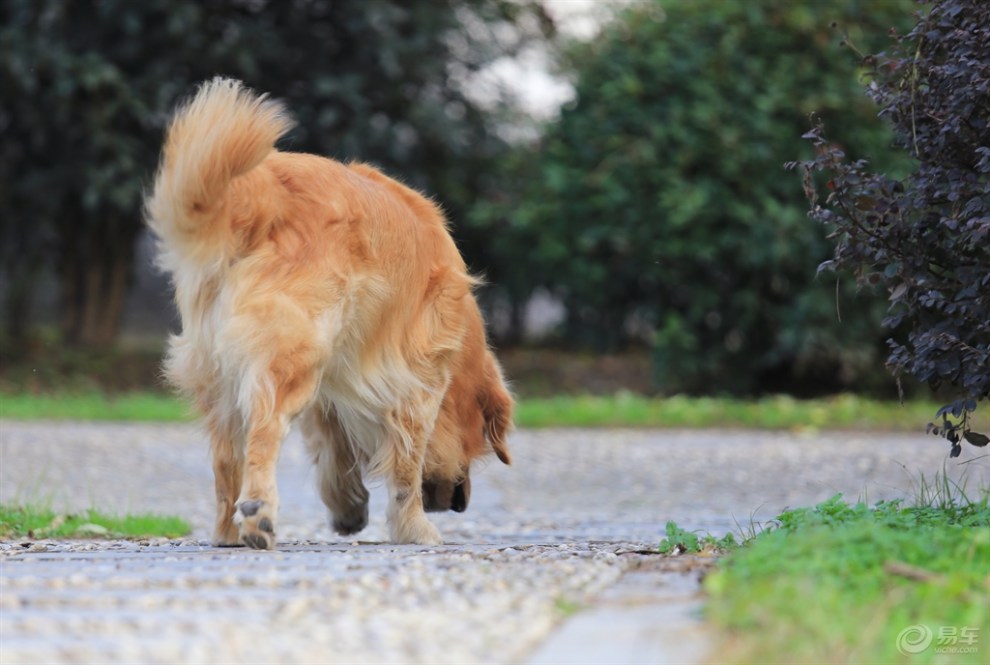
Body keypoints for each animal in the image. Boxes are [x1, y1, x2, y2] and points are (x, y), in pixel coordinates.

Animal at [148, 78, 520, 548]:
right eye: (475, 444)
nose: (459, 503)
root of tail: (261, 190)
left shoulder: (335, 386)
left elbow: (333, 449)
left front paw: (348, 507)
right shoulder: (419, 381)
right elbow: (406, 464)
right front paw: (413, 527)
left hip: (221, 370)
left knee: (226, 458)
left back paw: (225, 531)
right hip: (291, 353)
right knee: (264, 431)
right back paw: (257, 514)